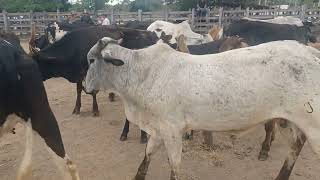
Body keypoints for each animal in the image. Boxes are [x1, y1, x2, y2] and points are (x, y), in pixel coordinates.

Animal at [84, 37, 320, 179]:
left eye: (91, 60)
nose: (85, 87)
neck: (144, 73)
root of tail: (312, 53)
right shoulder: (159, 128)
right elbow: (148, 153)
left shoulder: (172, 130)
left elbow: (174, 164)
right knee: (295, 146)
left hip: (313, 125)